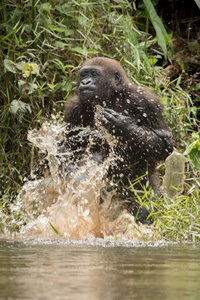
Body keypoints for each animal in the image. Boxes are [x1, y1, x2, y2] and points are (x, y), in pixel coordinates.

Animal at [63, 57, 173, 224]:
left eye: (94, 74)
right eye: (84, 74)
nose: (85, 82)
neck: (111, 96)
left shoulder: (147, 101)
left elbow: (164, 142)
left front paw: (123, 126)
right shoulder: (72, 109)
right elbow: (65, 150)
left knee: (146, 205)